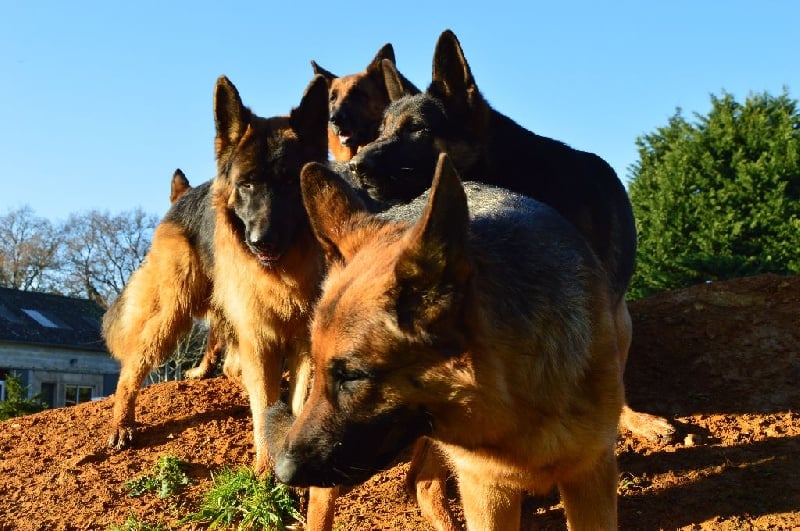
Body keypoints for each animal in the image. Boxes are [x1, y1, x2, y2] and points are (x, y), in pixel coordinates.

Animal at [268, 152, 624, 528]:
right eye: (329, 371)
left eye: (352, 377)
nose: (283, 472)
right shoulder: (487, 489)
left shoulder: (590, 477)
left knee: (421, 483)